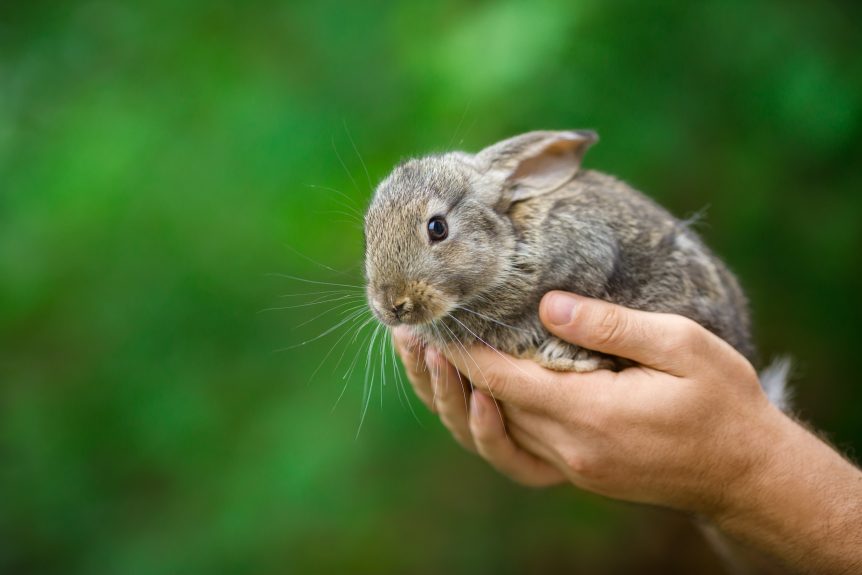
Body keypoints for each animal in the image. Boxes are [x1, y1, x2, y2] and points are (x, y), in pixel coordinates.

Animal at [362, 131, 788, 410]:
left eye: (438, 228)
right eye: (368, 232)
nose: (391, 305)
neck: (510, 245)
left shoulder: (592, 258)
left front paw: (566, 353)